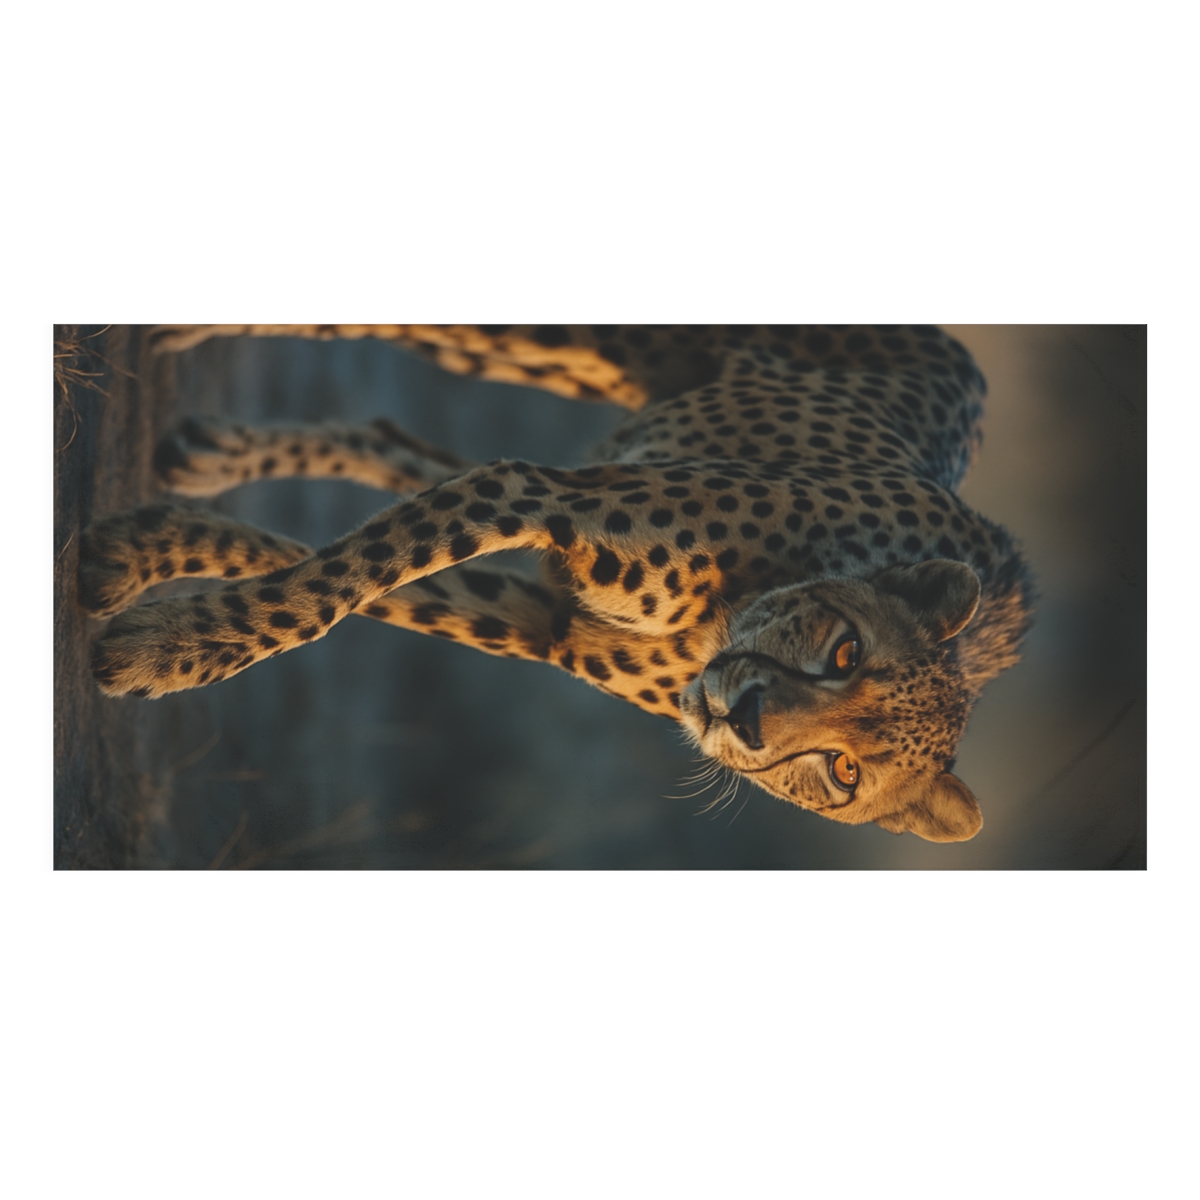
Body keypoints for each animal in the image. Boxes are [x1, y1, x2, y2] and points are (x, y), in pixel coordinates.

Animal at [79, 324, 1034, 843]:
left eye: (843, 772)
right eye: (845, 652)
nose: (750, 718)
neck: (721, 625)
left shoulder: (543, 615)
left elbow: (363, 582)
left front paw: (146, 581)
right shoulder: (543, 493)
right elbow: (339, 584)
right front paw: (178, 642)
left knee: (397, 439)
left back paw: (210, 455)